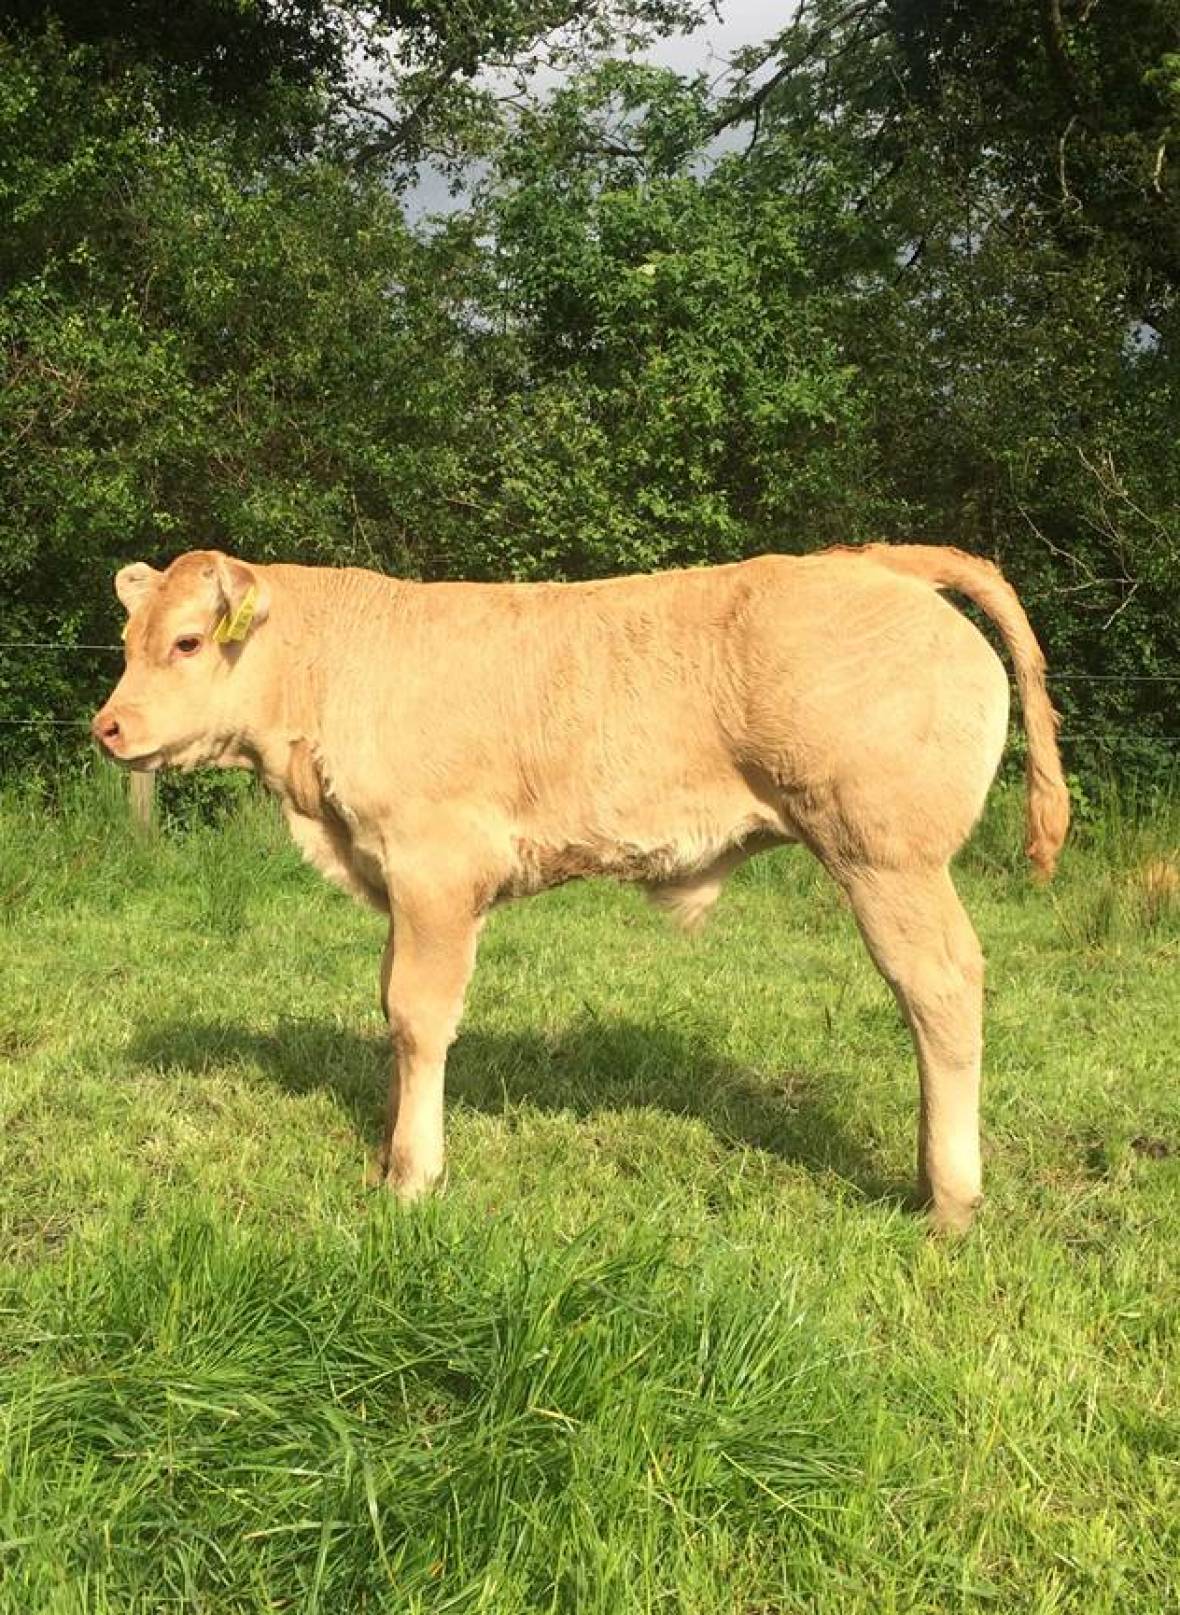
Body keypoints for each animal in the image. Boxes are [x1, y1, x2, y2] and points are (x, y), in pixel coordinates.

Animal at [94, 542, 1071, 1220]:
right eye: (130, 639)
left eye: (188, 641)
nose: (107, 726)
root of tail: (874, 560)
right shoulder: (399, 880)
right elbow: (389, 1003)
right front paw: (383, 1154)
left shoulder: (436, 864)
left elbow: (418, 1016)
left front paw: (412, 1175)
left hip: (889, 856)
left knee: (940, 989)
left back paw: (948, 1199)